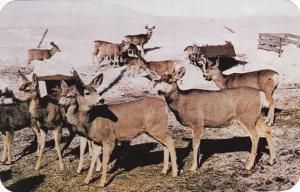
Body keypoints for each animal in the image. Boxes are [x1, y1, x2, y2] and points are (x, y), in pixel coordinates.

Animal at [144, 67, 276, 172]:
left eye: (170, 80)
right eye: (158, 81)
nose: (160, 91)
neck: (183, 103)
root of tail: (260, 95)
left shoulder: (197, 122)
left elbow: (195, 145)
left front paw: (193, 167)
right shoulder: (196, 125)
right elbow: (198, 145)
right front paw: (197, 163)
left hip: (246, 116)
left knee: (255, 136)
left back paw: (248, 165)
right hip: (255, 116)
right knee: (267, 130)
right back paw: (271, 160)